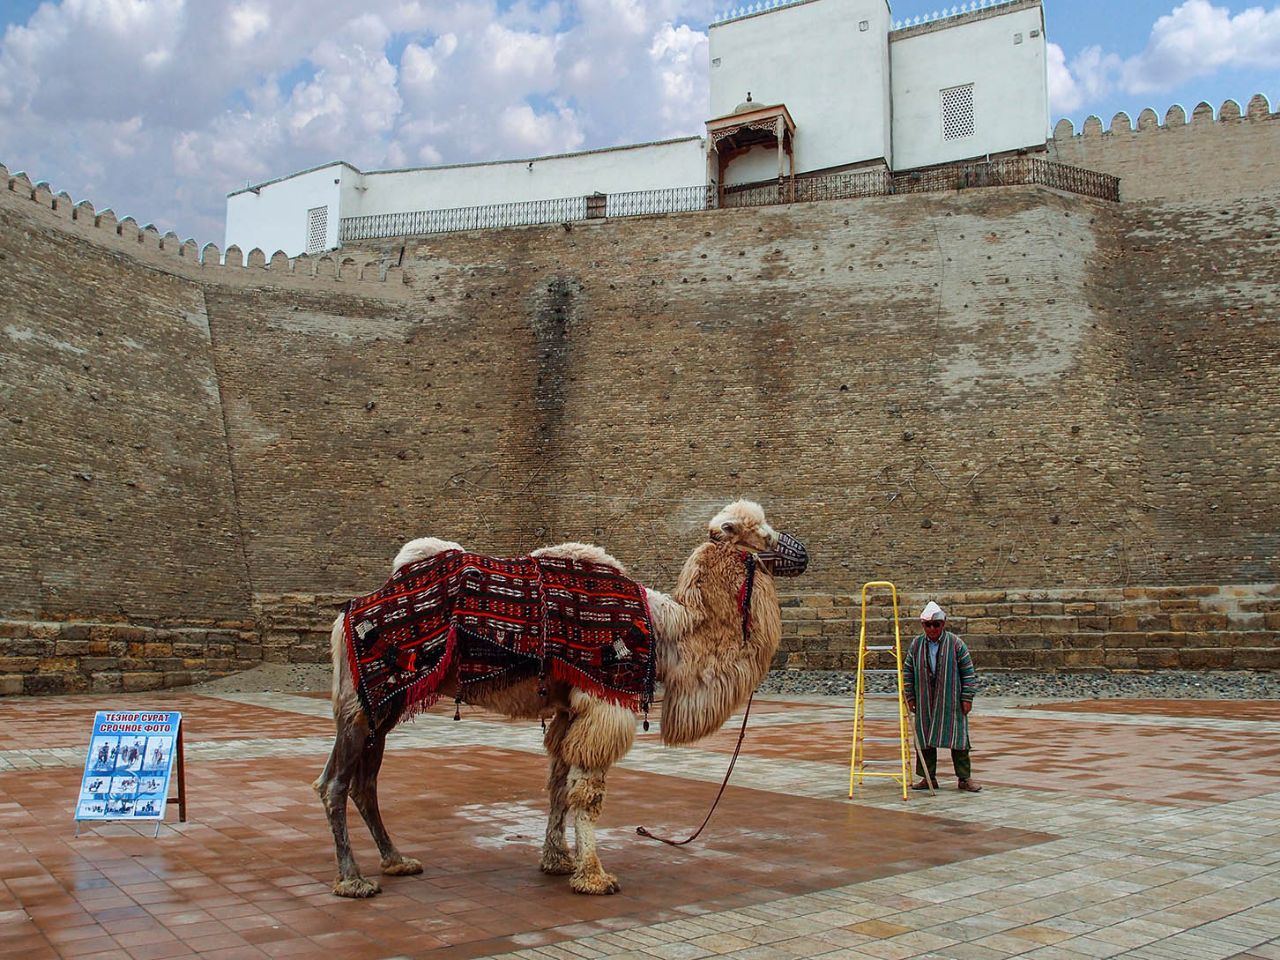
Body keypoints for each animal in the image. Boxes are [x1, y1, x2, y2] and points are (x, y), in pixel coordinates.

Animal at [313, 499, 803, 901]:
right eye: (759, 532)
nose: (801, 552)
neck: (667, 630)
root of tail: (345, 618)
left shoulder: (570, 708)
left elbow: (559, 784)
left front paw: (557, 860)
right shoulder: (605, 700)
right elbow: (587, 793)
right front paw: (594, 876)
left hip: (382, 704)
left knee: (364, 783)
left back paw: (396, 861)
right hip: (363, 701)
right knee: (334, 783)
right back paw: (354, 880)